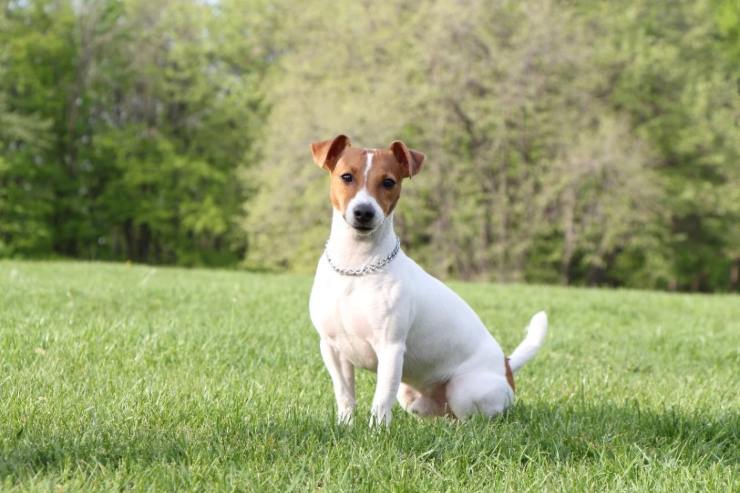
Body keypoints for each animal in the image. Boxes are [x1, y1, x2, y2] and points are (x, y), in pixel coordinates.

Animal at [308, 135, 548, 426]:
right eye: (346, 177)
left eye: (389, 182)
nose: (364, 212)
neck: (357, 266)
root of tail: (507, 366)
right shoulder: (332, 350)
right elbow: (345, 396)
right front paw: (345, 427)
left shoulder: (390, 349)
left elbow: (381, 400)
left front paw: (377, 431)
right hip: (411, 396)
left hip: (463, 390)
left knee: (472, 419)